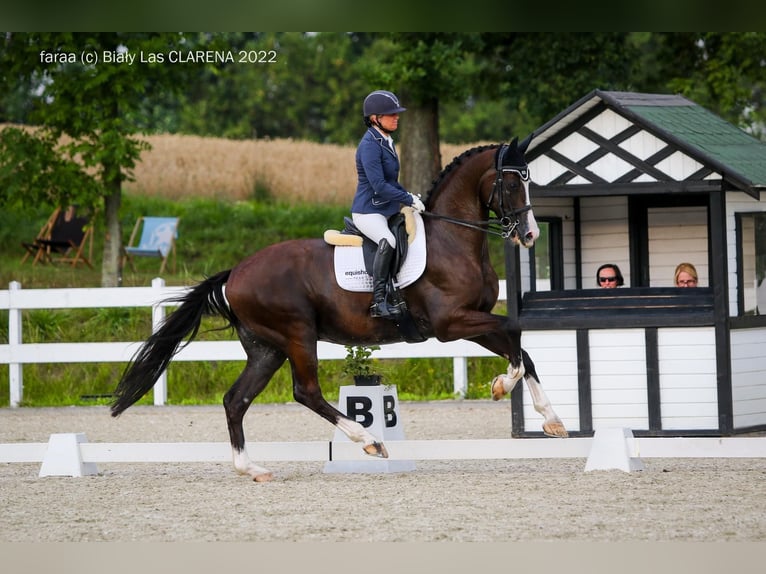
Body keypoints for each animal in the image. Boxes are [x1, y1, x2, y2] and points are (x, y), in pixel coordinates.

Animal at [112, 137, 568, 484]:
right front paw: (501, 385)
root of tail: (235, 272)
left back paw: (252, 468)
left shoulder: (469, 321)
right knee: (305, 392)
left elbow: (521, 347)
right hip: (297, 334)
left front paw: (550, 419)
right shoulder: (450, 323)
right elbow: (514, 332)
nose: (529, 235)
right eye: (510, 183)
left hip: (266, 348)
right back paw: (369, 440)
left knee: (235, 400)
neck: (453, 240)